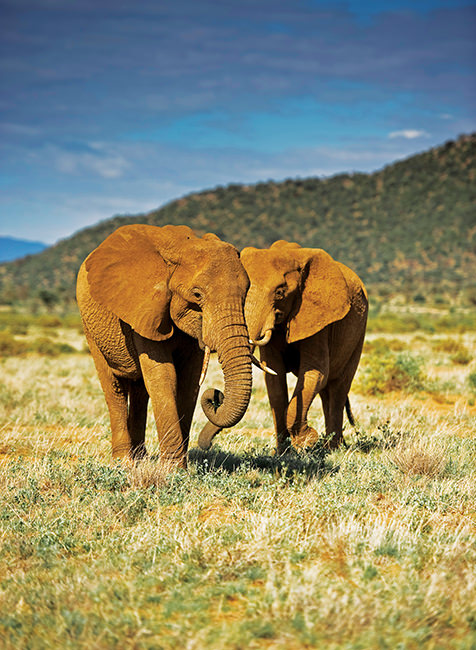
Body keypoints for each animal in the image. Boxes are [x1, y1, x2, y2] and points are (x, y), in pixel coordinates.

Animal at [77, 225, 255, 468]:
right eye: (197, 294)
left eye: (246, 293)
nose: (216, 395)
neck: (181, 248)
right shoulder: (144, 307)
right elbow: (164, 376)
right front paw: (173, 470)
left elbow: (189, 381)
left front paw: (180, 467)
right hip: (90, 328)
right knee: (114, 386)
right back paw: (124, 462)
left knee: (140, 390)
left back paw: (140, 458)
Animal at [197, 240, 368, 454]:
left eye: (280, 293)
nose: (208, 445)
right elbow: (274, 381)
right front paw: (282, 453)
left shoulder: (319, 320)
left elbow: (315, 373)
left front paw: (306, 441)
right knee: (326, 392)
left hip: (359, 333)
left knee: (338, 388)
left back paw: (332, 449)